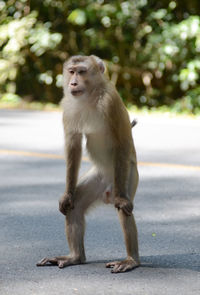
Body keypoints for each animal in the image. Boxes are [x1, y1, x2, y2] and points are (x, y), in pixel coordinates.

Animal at [37, 55, 140, 272]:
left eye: (82, 71)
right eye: (71, 71)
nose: (73, 83)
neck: (90, 97)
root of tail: (108, 191)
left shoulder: (111, 102)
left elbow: (122, 142)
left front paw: (121, 200)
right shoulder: (68, 105)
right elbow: (73, 146)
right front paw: (66, 195)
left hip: (127, 175)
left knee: (124, 209)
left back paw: (131, 260)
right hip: (98, 178)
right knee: (75, 208)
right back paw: (75, 257)